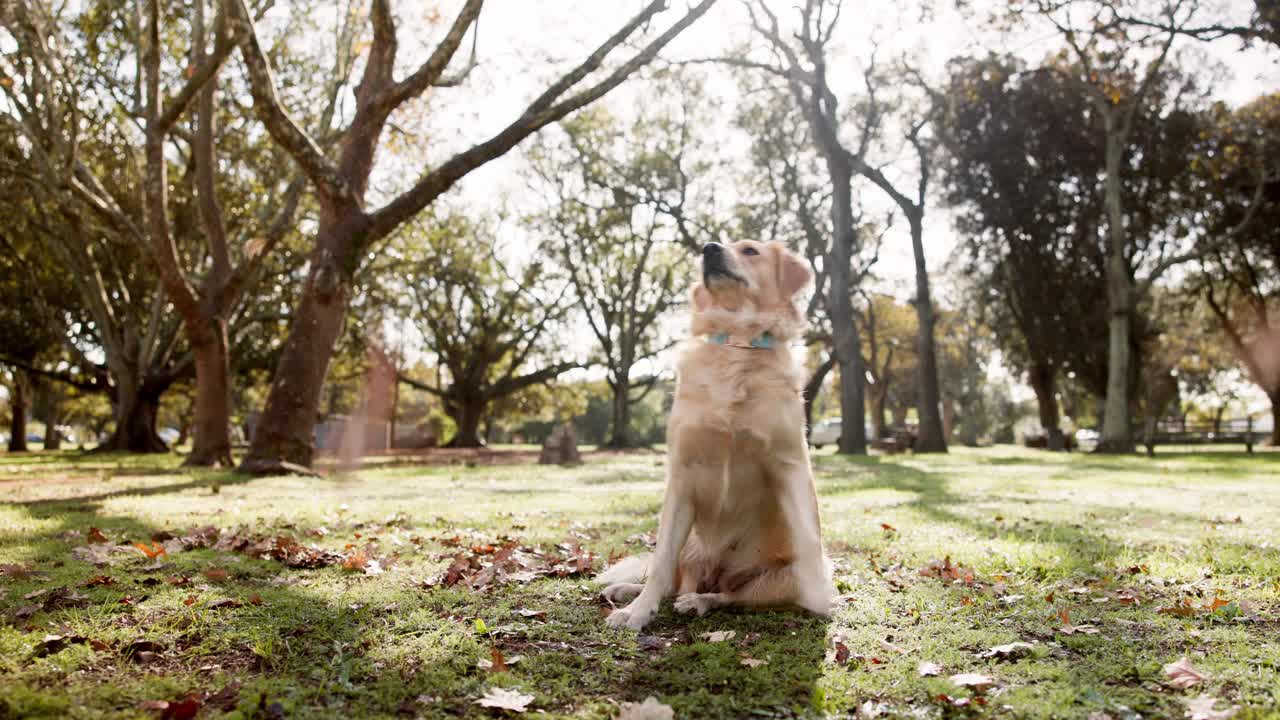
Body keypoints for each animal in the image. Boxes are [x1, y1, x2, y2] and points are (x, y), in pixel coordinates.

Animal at [601, 238, 839, 625]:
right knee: (672, 582)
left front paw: (820, 597)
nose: (709, 248)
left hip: (762, 581)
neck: (737, 343)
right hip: (689, 546)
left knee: (728, 596)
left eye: (750, 251)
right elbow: (660, 562)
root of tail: (715, 573)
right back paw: (628, 591)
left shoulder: (791, 464)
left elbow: (808, 536)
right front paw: (637, 612)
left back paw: (700, 601)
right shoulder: (682, 473)